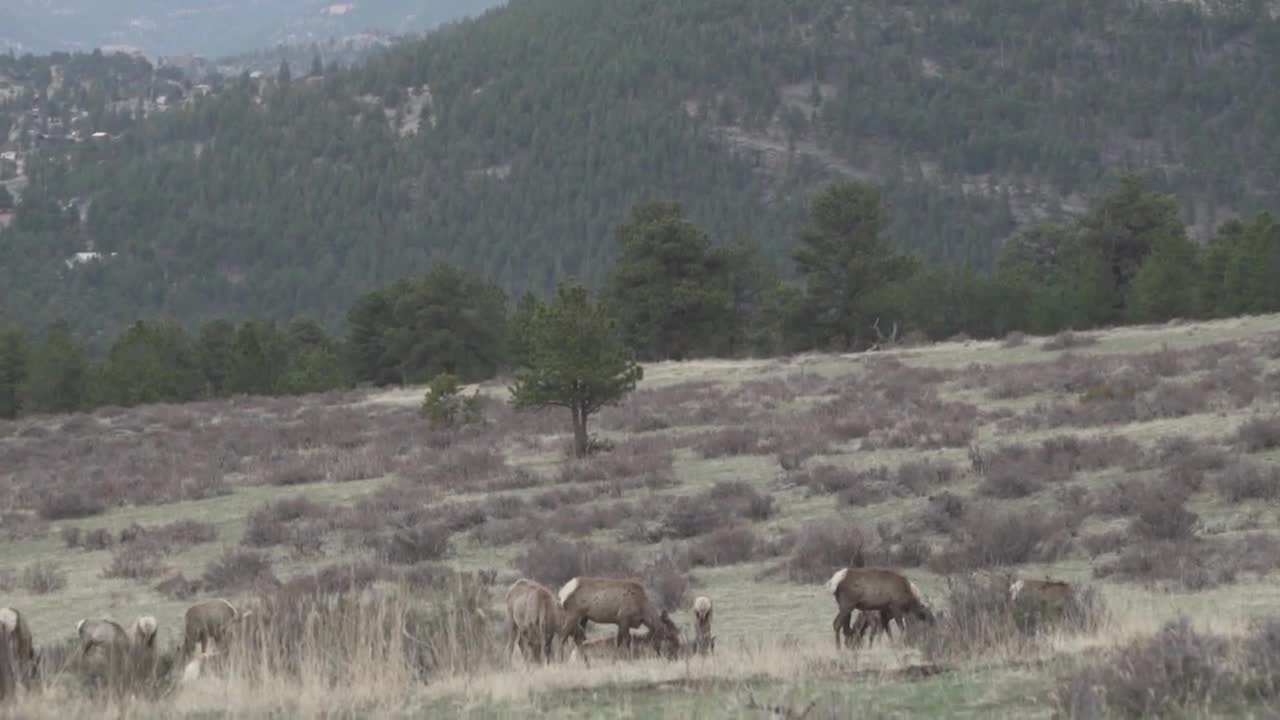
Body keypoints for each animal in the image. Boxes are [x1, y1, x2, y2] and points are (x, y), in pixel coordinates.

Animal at [558, 573, 686, 666]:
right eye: (669, 635)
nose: (675, 655)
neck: (643, 612)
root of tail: (562, 593)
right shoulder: (624, 618)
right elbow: (627, 640)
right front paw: (630, 661)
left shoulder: (619, 621)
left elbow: (618, 642)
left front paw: (614, 661)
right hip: (574, 613)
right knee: (563, 635)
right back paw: (560, 661)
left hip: (584, 617)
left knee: (578, 638)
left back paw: (586, 662)